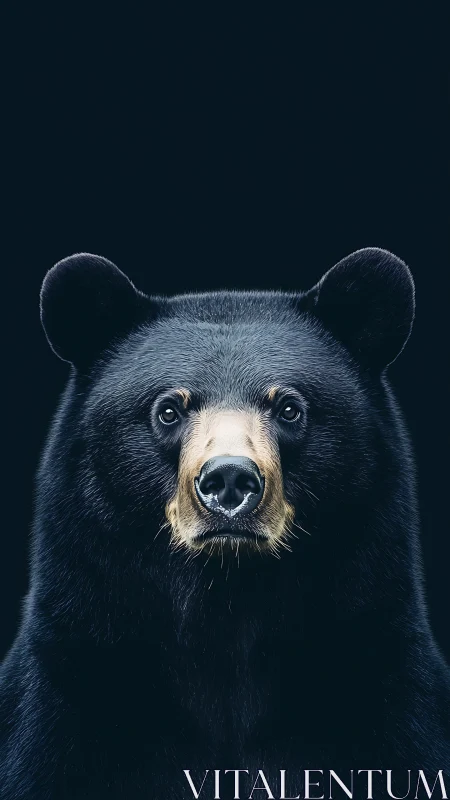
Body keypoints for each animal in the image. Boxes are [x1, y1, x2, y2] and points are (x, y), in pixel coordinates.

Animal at [0, 248, 449, 800]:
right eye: (168, 409)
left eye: (289, 408)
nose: (230, 479)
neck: (227, 606)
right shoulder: (72, 692)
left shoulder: (382, 682)